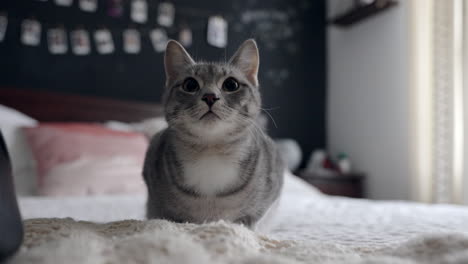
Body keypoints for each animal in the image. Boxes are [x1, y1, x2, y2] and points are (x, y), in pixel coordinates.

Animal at [143, 39, 284, 229]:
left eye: (231, 84)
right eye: (190, 85)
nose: (210, 96)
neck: (211, 152)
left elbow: (250, 219)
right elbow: (170, 217)